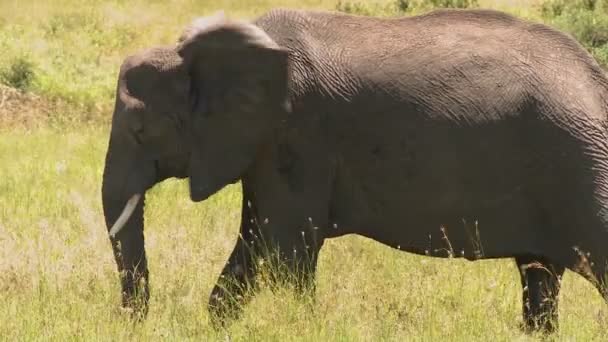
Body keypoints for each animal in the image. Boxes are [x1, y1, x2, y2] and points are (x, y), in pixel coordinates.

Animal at [104, 8, 608, 332]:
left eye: (140, 131)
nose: (137, 321)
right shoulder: (264, 147)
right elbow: (254, 242)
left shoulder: (298, 135)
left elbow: (287, 249)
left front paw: (299, 326)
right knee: (539, 276)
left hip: (584, 167)